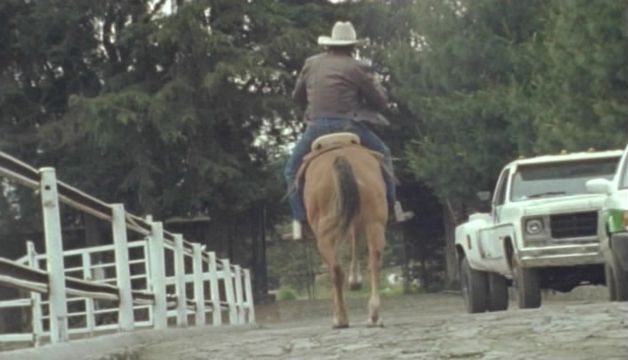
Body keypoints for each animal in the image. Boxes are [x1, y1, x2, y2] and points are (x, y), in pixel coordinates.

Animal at [300, 133, 386, 330]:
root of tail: (340, 155)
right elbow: (354, 239)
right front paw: (355, 280)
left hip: (324, 235)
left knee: (336, 271)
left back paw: (340, 319)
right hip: (375, 223)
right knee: (374, 260)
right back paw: (374, 315)